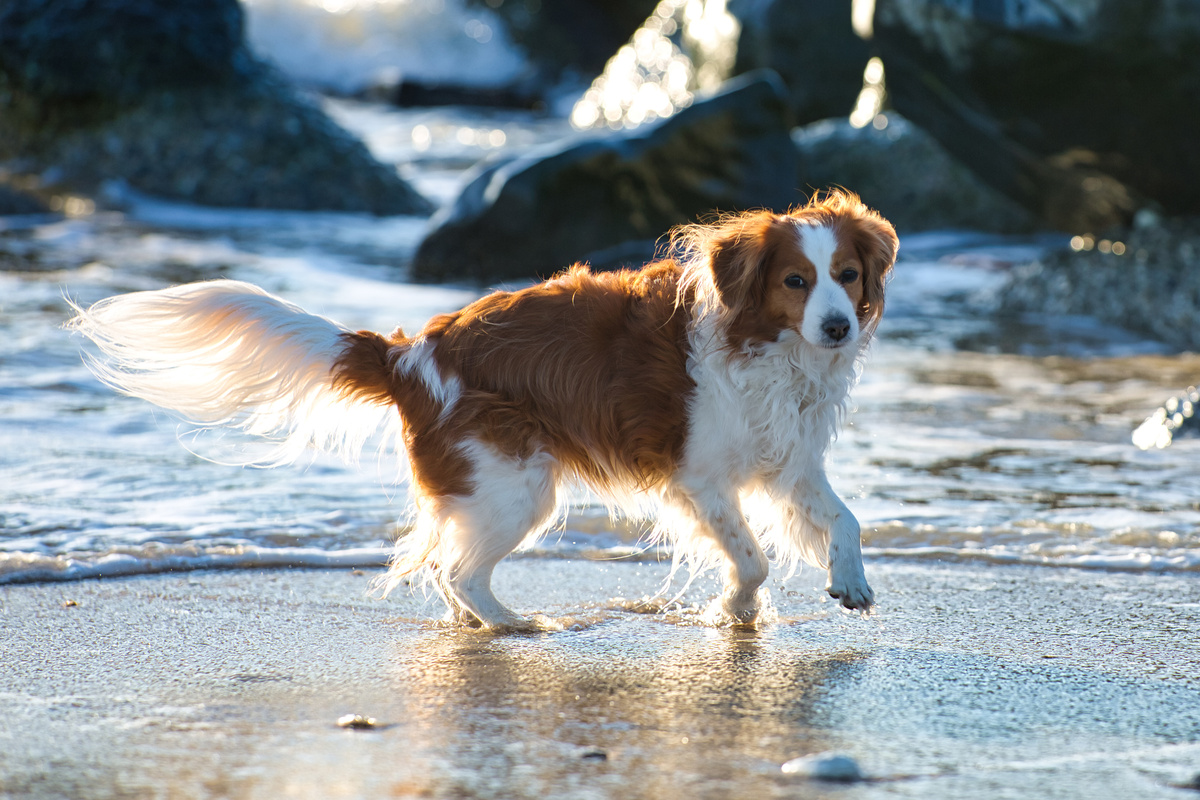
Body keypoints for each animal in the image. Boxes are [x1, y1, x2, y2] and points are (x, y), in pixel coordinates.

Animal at [70, 190, 897, 628]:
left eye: (847, 275)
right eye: (795, 281)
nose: (837, 326)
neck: (765, 345)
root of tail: (410, 352)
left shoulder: (788, 462)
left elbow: (844, 519)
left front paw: (847, 582)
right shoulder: (699, 478)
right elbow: (751, 555)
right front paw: (737, 608)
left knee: (448, 570)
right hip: (518, 486)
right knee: (457, 571)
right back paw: (511, 624)